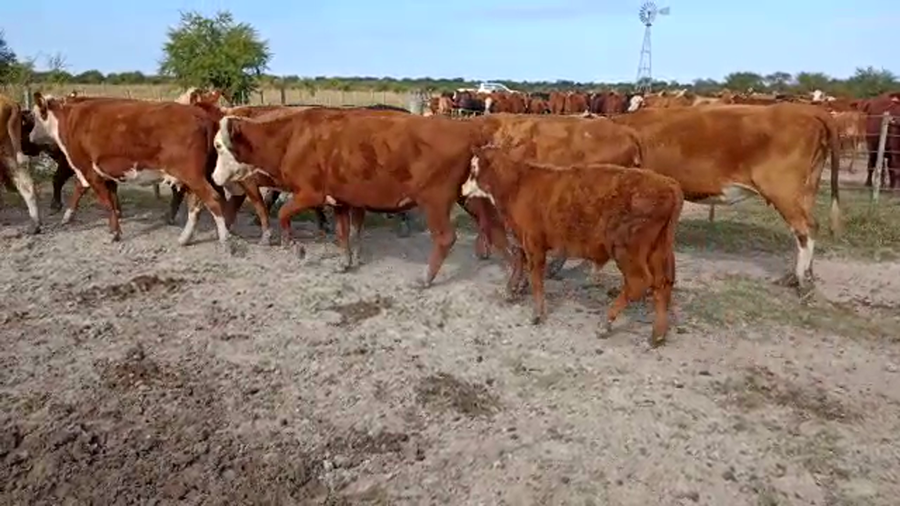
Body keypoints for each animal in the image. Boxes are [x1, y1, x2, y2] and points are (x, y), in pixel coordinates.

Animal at [28, 92, 232, 248]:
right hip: (192, 176)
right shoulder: (104, 173)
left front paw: (114, 233)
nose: (30, 137)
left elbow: (105, 202)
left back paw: (224, 239)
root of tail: (198, 113)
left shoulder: (88, 170)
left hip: (191, 174)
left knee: (212, 199)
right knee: (196, 204)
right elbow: (109, 199)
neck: (70, 119)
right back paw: (185, 238)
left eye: (33, 117)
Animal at [211, 107, 505, 283]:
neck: (292, 138)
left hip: (434, 200)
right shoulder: (340, 200)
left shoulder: (310, 193)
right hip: (467, 197)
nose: (214, 178)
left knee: (445, 238)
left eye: (219, 146)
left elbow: (283, 213)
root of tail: (466, 128)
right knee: (489, 223)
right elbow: (344, 234)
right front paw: (345, 262)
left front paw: (296, 247)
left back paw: (426, 277)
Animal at [460, 146, 683, 348]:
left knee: (639, 282)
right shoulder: (523, 241)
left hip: (627, 251)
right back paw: (657, 335)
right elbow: (521, 264)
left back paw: (605, 323)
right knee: (662, 285)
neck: (517, 184)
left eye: (473, 169)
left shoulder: (533, 243)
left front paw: (537, 314)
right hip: (657, 251)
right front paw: (514, 290)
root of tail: (669, 184)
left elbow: (536, 279)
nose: (462, 190)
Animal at [611, 103, 842, 297]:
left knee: (804, 228)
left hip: (784, 190)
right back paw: (803, 275)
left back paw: (800, 280)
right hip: (808, 188)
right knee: (811, 226)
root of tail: (806, 109)